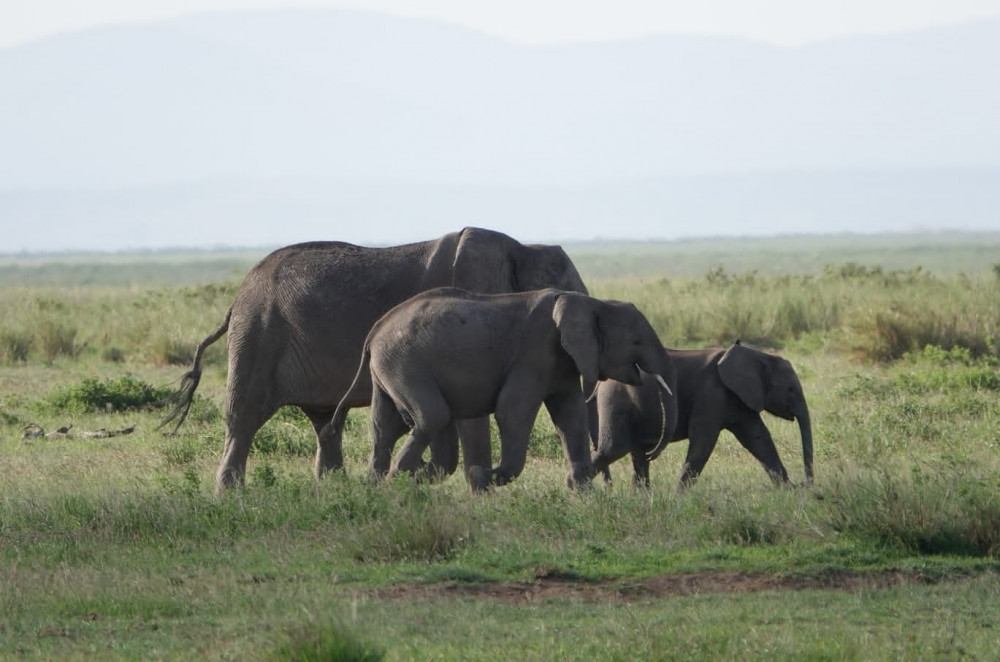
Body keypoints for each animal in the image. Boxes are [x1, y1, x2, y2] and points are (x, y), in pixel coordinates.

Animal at [160, 228, 588, 492]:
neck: (518, 246)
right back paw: (232, 497)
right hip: (257, 334)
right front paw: (479, 492)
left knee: (325, 424)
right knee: (244, 419)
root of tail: (234, 300)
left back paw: (332, 490)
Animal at [338, 286, 680, 492]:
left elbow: (570, 417)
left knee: (386, 428)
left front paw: (582, 494)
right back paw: (397, 482)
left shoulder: (562, 362)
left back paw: (379, 488)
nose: (651, 451)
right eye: (636, 341)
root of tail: (375, 330)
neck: (593, 303)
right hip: (405, 363)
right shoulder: (534, 352)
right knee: (431, 417)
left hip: (391, 368)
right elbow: (512, 412)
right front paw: (481, 476)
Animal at [592, 344, 812, 490]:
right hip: (617, 401)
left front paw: (788, 491)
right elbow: (703, 442)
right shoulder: (711, 393)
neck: (758, 355)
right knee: (614, 449)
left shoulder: (738, 398)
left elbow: (758, 438)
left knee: (639, 453)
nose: (804, 484)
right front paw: (678, 497)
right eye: (791, 390)